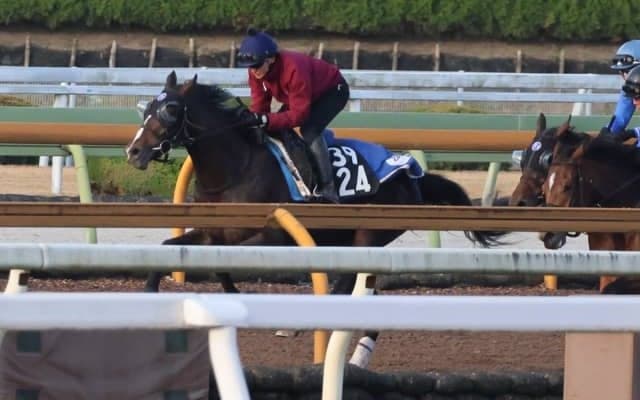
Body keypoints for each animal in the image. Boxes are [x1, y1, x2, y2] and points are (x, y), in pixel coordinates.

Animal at [125, 71, 506, 366]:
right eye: (147, 107)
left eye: (171, 109)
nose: (134, 151)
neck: (236, 168)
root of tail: (411, 173)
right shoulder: (213, 232)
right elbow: (178, 251)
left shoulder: (274, 237)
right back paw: (358, 354)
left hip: (369, 235)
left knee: (348, 285)